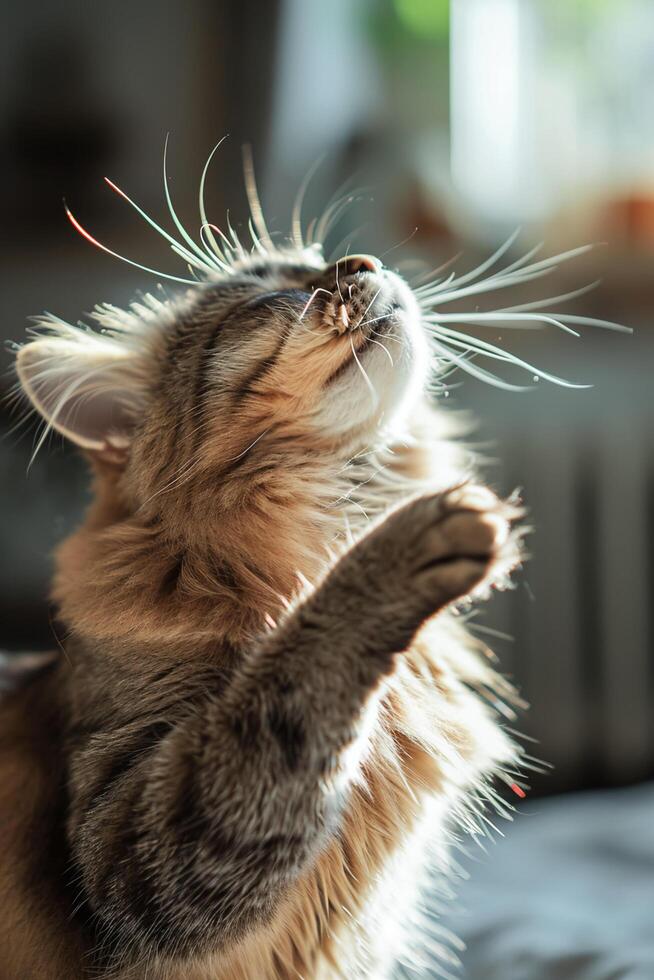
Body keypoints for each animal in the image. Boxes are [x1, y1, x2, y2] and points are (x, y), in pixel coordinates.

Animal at [2, 157, 616, 976]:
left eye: (321, 262)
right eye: (274, 296)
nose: (363, 261)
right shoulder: (127, 849)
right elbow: (296, 672)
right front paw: (405, 544)